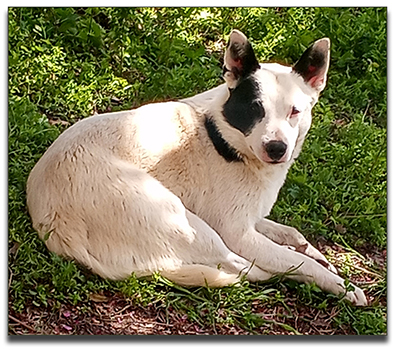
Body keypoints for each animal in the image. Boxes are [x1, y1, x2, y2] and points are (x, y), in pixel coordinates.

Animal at [26, 30, 368, 304]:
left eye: (295, 111)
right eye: (254, 109)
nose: (276, 148)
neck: (223, 137)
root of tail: (57, 231)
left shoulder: (251, 218)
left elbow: (292, 234)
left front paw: (318, 254)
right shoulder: (238, 233)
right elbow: (295, 260)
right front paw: (342, 284)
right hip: (185, 221)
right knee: (246, 268)